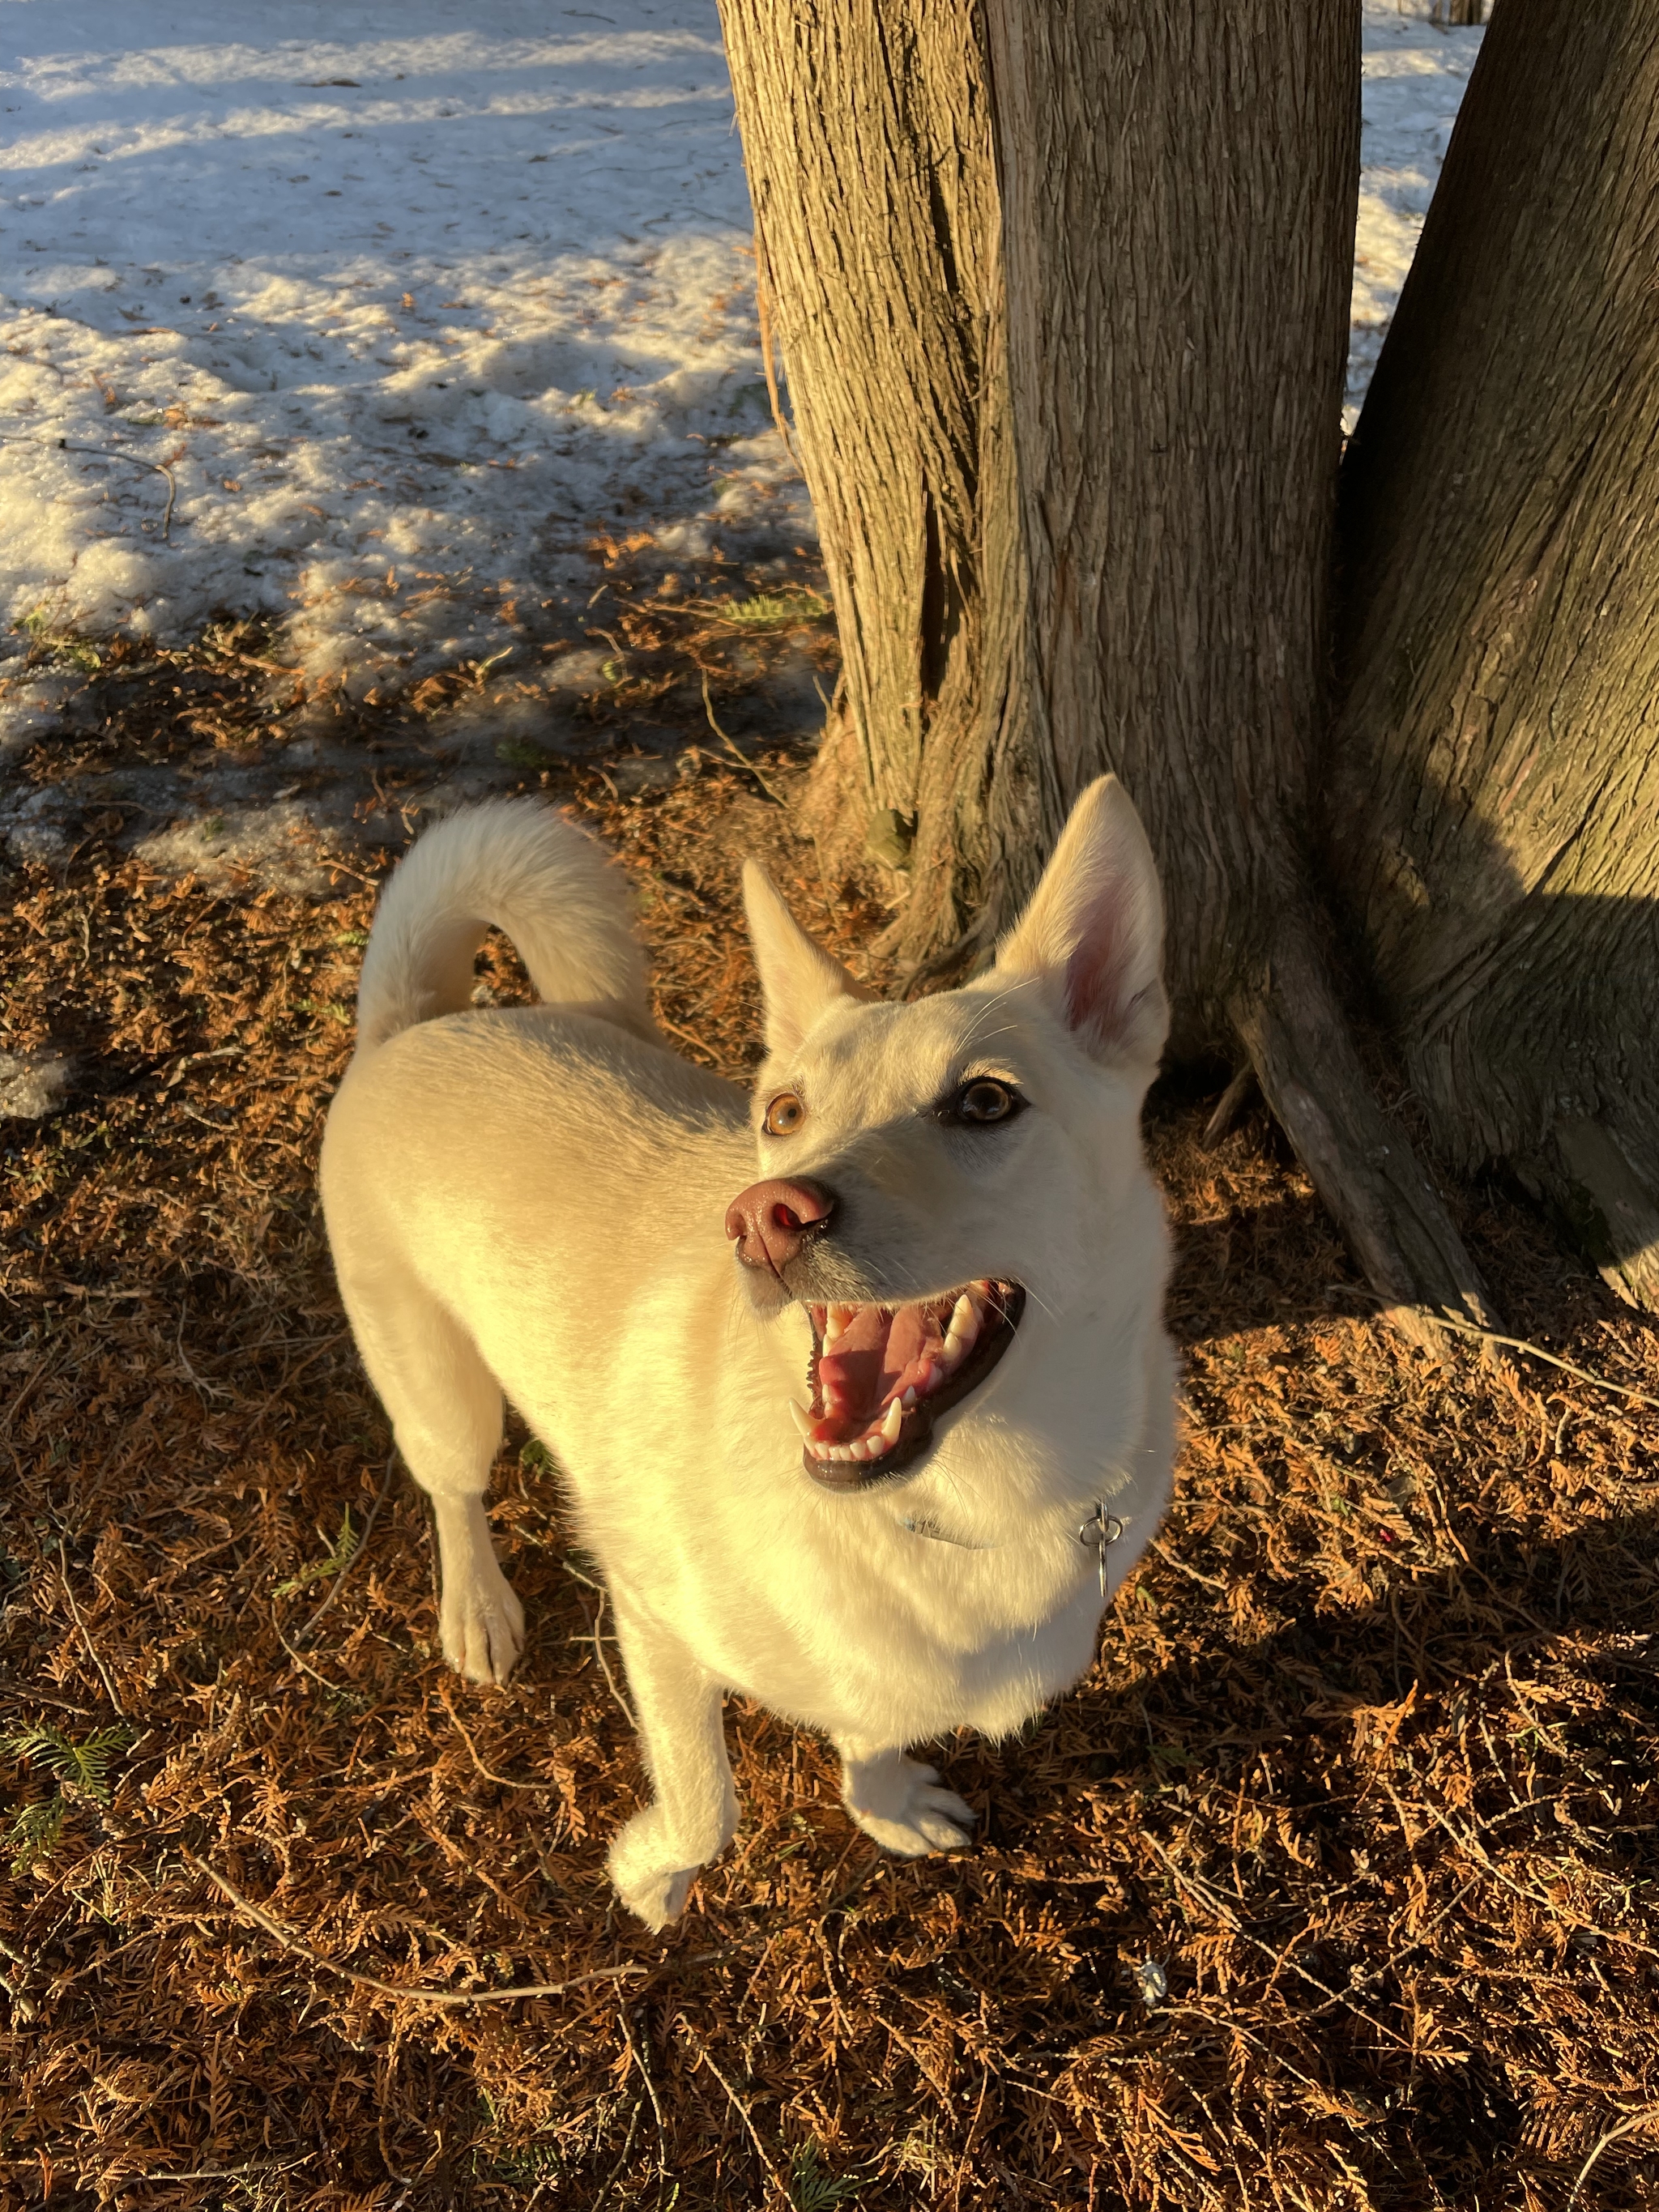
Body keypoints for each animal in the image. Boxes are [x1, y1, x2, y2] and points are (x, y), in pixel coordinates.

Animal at [320, 778, 1185, 1920]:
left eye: (986, 1100)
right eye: (782, 1112)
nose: (763, 1216)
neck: (972, 1501)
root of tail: (413, 1026)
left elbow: (871, 1727)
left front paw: (884, 1805)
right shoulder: (651, 1620)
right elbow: (705, 1802)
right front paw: (649, 1872)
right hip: (440, 1391)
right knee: (452, 1493)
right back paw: (478, 1608)